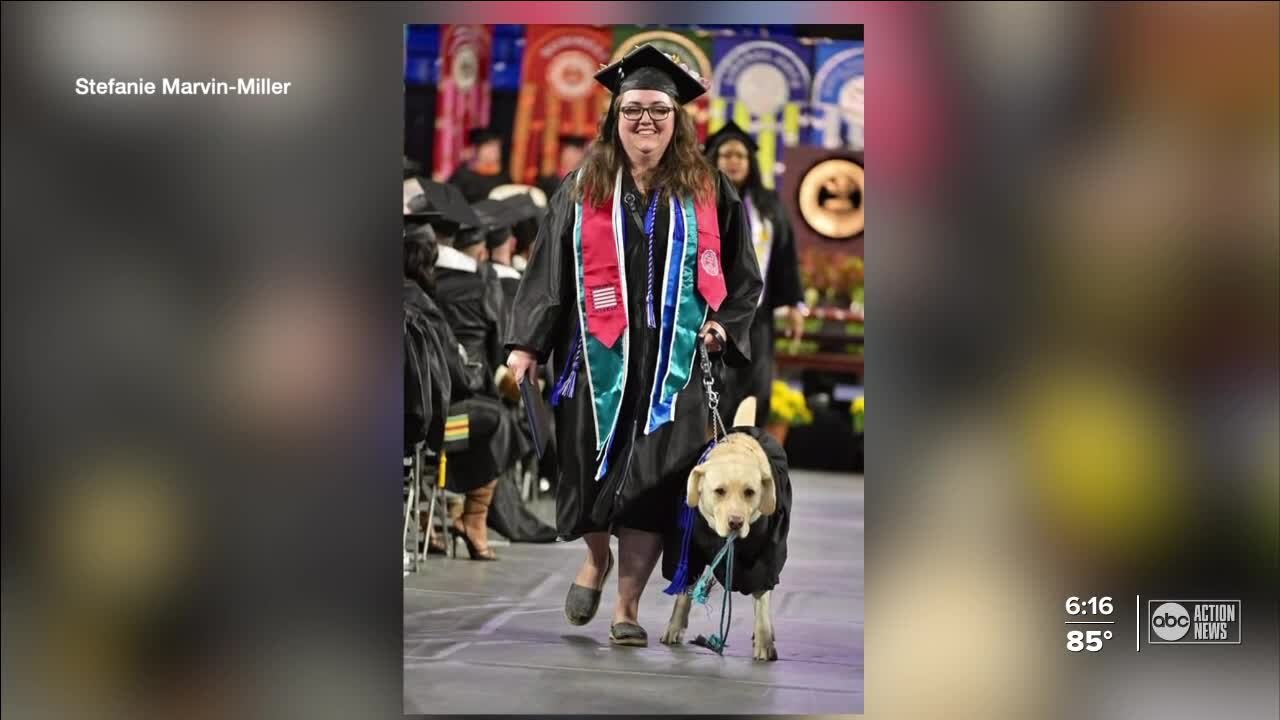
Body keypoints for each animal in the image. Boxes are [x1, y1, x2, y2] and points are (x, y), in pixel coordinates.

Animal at [660, 394, 788, 661]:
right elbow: (684, 589)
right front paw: (675, 626)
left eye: (750, 492)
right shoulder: (688, 547)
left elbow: (762, 594)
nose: (736, 522)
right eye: (719, 491)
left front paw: (764, 641)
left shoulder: (766, 555)